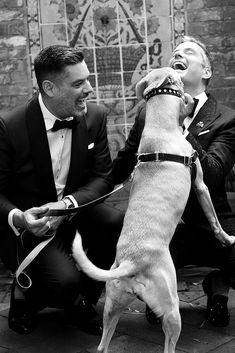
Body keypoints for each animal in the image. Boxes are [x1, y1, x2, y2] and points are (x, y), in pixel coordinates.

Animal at [72, 66, 235, 352]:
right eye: (180, 75)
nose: (192, 101)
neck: (160, 127)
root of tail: (131, 262)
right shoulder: (201, 185)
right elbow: (214, 220)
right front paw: (227, 238)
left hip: (113, 305)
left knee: (103, 345)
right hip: (170, 309)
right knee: (169, 344)